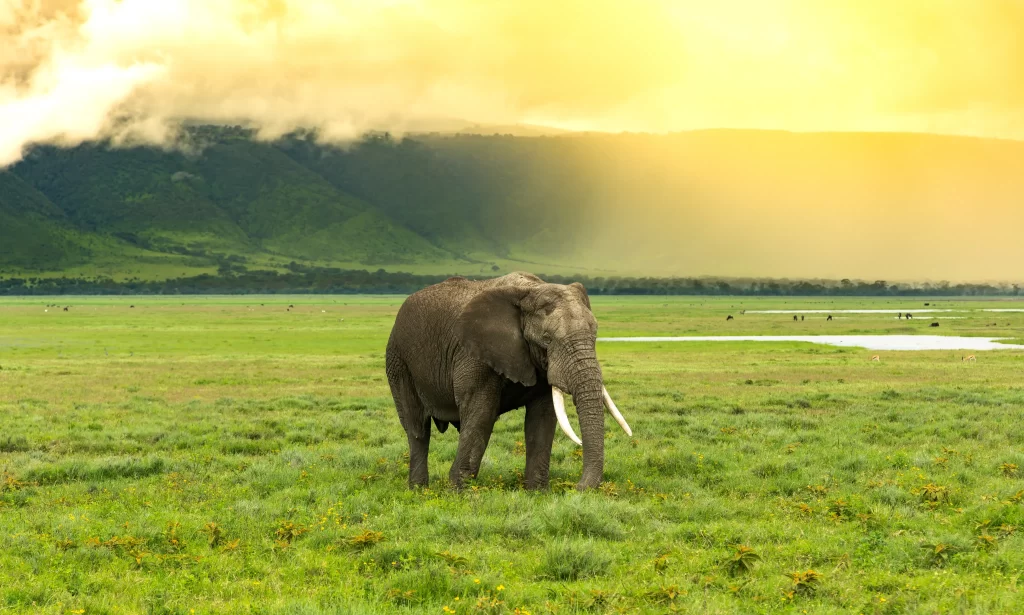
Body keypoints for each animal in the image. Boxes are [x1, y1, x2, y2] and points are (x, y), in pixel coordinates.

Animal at [385, 272, 626, 489]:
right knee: (417, 428)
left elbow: (542, 417)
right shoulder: (474, 353)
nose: (578, 487)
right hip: (399, 361)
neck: (530, 290)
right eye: (547, 340)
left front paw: (537, 492)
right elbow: (482, 413)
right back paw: (419, 490)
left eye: (595, 335)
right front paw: (459, 493)